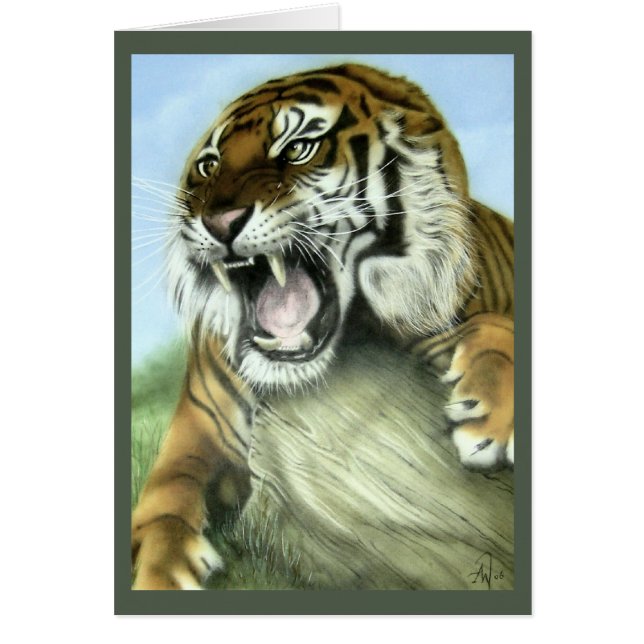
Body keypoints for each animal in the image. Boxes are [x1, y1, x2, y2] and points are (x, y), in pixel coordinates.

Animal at [131, 63, 514, 590]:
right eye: (209, 167)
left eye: (297, 148)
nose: (219, 221)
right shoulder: (197, 434)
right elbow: (163, 503)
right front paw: (158, 576)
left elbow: (497, 329)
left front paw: (487, 422)